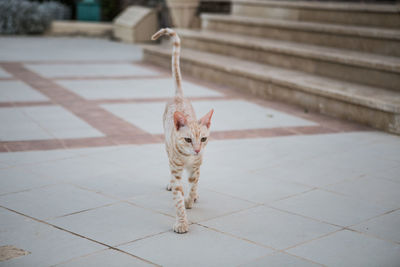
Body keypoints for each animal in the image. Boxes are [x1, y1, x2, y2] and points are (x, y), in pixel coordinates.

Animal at [151, 28, 212, 234]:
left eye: (203, 139)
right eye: (187, 140)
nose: (197, 150)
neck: (188, 158)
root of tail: (179, 95)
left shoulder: (196, 166)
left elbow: (193, 185)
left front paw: (190, 200)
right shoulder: (176, 167)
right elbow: (178, 197)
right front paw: (182, 221)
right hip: (166, 148)